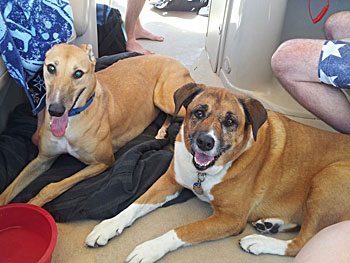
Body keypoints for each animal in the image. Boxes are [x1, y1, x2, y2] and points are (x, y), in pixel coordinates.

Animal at [0, 43, 193, 208]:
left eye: (78, 73)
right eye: (51, 68)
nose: (55, 110)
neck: (72, 121)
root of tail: (176, 60)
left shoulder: (103, 161)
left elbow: (52, 186)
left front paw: (33, 203)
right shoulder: (42, 159)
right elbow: (9, 189)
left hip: (164, 99)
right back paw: (162, 131)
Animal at [85, 84, 350, 262]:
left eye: (230, 121)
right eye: (199, 112)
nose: (205, 142)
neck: (204, 174)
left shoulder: (230, 219)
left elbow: (181, 230)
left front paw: (149, 249)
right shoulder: (169, 182)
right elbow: (134, 205)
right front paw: (108, 227)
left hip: (330, 175)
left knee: (302, 243)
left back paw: (258, 241)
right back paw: (270, 225)